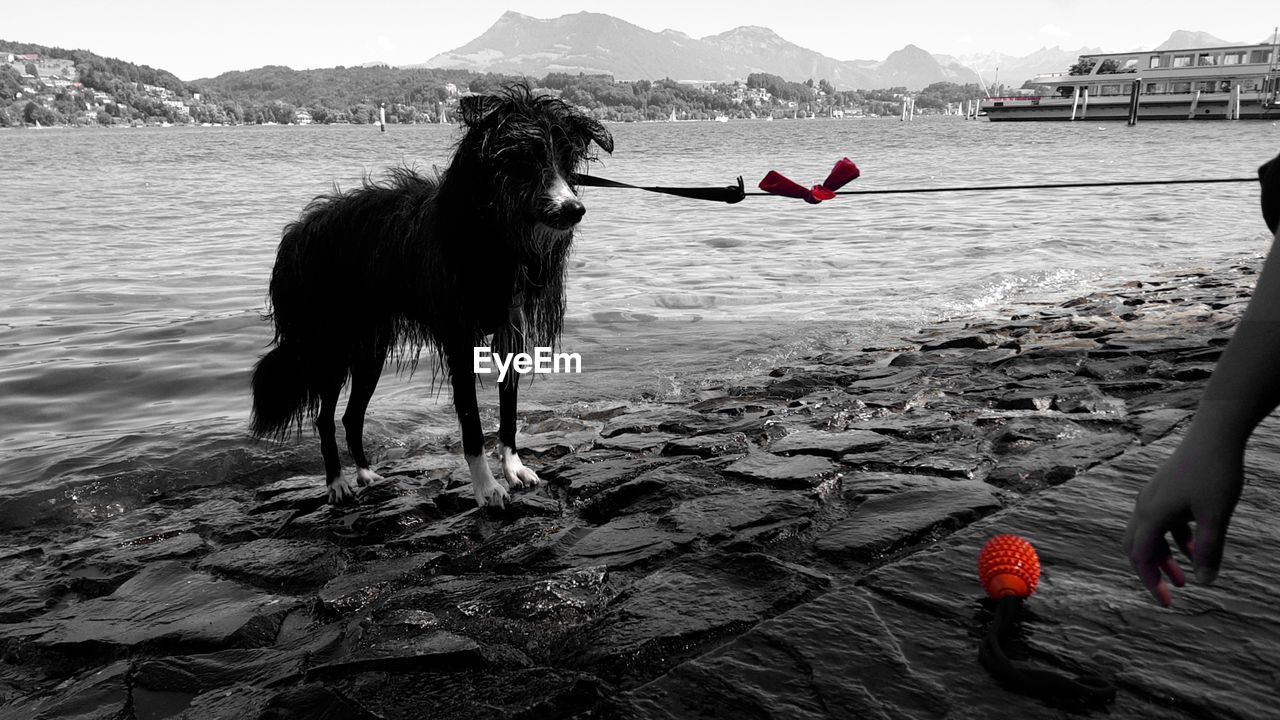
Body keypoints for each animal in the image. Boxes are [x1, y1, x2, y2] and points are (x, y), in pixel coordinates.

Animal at [252, 83, 611, 504]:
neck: (494, 237)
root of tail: (298, 233)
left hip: (370, 348)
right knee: (325, 418)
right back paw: (337, 482)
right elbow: (472, 422)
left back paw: (365, 473)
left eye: (567, 159)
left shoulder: (511, 331)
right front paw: (486, 487)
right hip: (330, 344)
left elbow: (508, 413)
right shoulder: (458, 337)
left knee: (351, 415)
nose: (574, 209)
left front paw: (513, 468)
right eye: (523, 158)